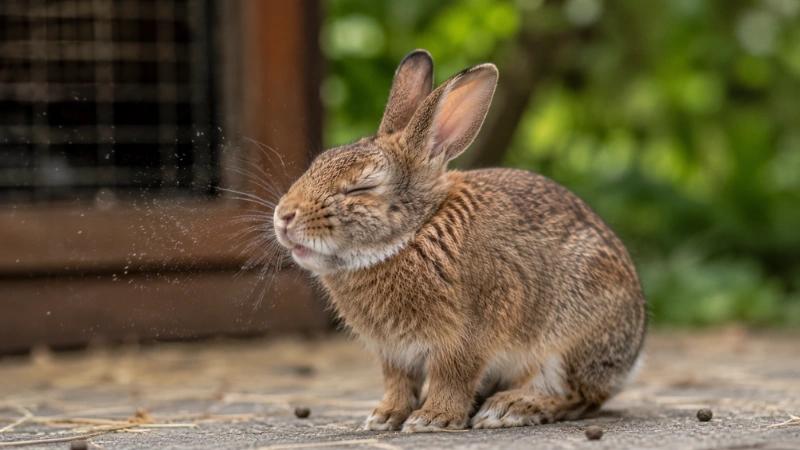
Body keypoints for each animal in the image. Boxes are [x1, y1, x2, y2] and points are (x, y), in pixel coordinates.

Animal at [273, 49, 647, 432]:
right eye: (318, 163)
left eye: (361, 188)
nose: (284, 216)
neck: (416, 232)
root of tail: (629, 360)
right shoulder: (393, 354)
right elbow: (397, 383)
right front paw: (384, 417)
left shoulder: (465, 341)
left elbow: (452, 378)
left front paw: (432, 419)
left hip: (566, 344)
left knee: (577, 397)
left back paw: (509, 408)